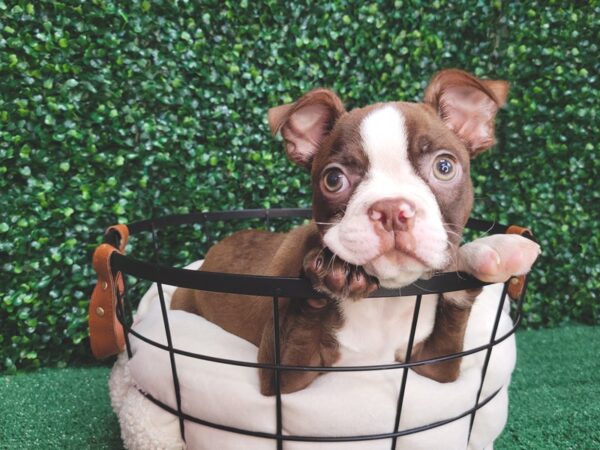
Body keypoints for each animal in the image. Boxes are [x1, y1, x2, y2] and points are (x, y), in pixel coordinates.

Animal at [171, 68, 540, 396]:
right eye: (334, 179)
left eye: (444, 167)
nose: (391, 209)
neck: (385, 300)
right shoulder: (284, 373)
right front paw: (338, 270)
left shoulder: (433, 365)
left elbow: (455, 308)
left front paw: (493, 250)